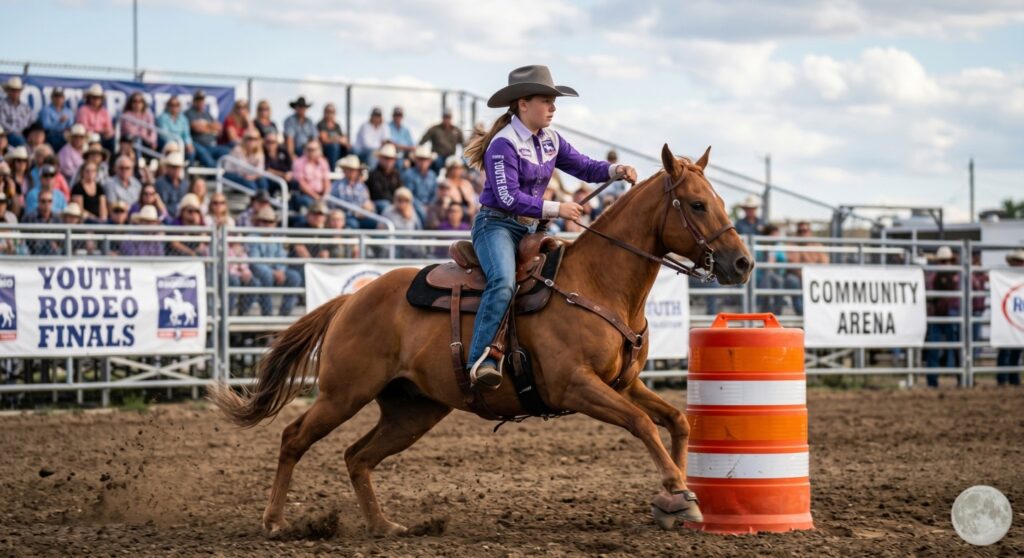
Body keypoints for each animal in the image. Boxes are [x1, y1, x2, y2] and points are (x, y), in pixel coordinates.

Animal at [211, 144, 754, 536]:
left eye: (721, 202)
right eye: (697, 204)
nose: (744, 263)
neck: (597, 284)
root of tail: (351, 299)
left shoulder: (622, 384)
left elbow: (676, 421)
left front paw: (679, 499)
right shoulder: (576, 386)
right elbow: (643, 424)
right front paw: (677, 492)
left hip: (413, 410)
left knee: (357, 457)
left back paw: (385, 526)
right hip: (343, 393)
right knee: (293, 438)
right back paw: (275, 522)